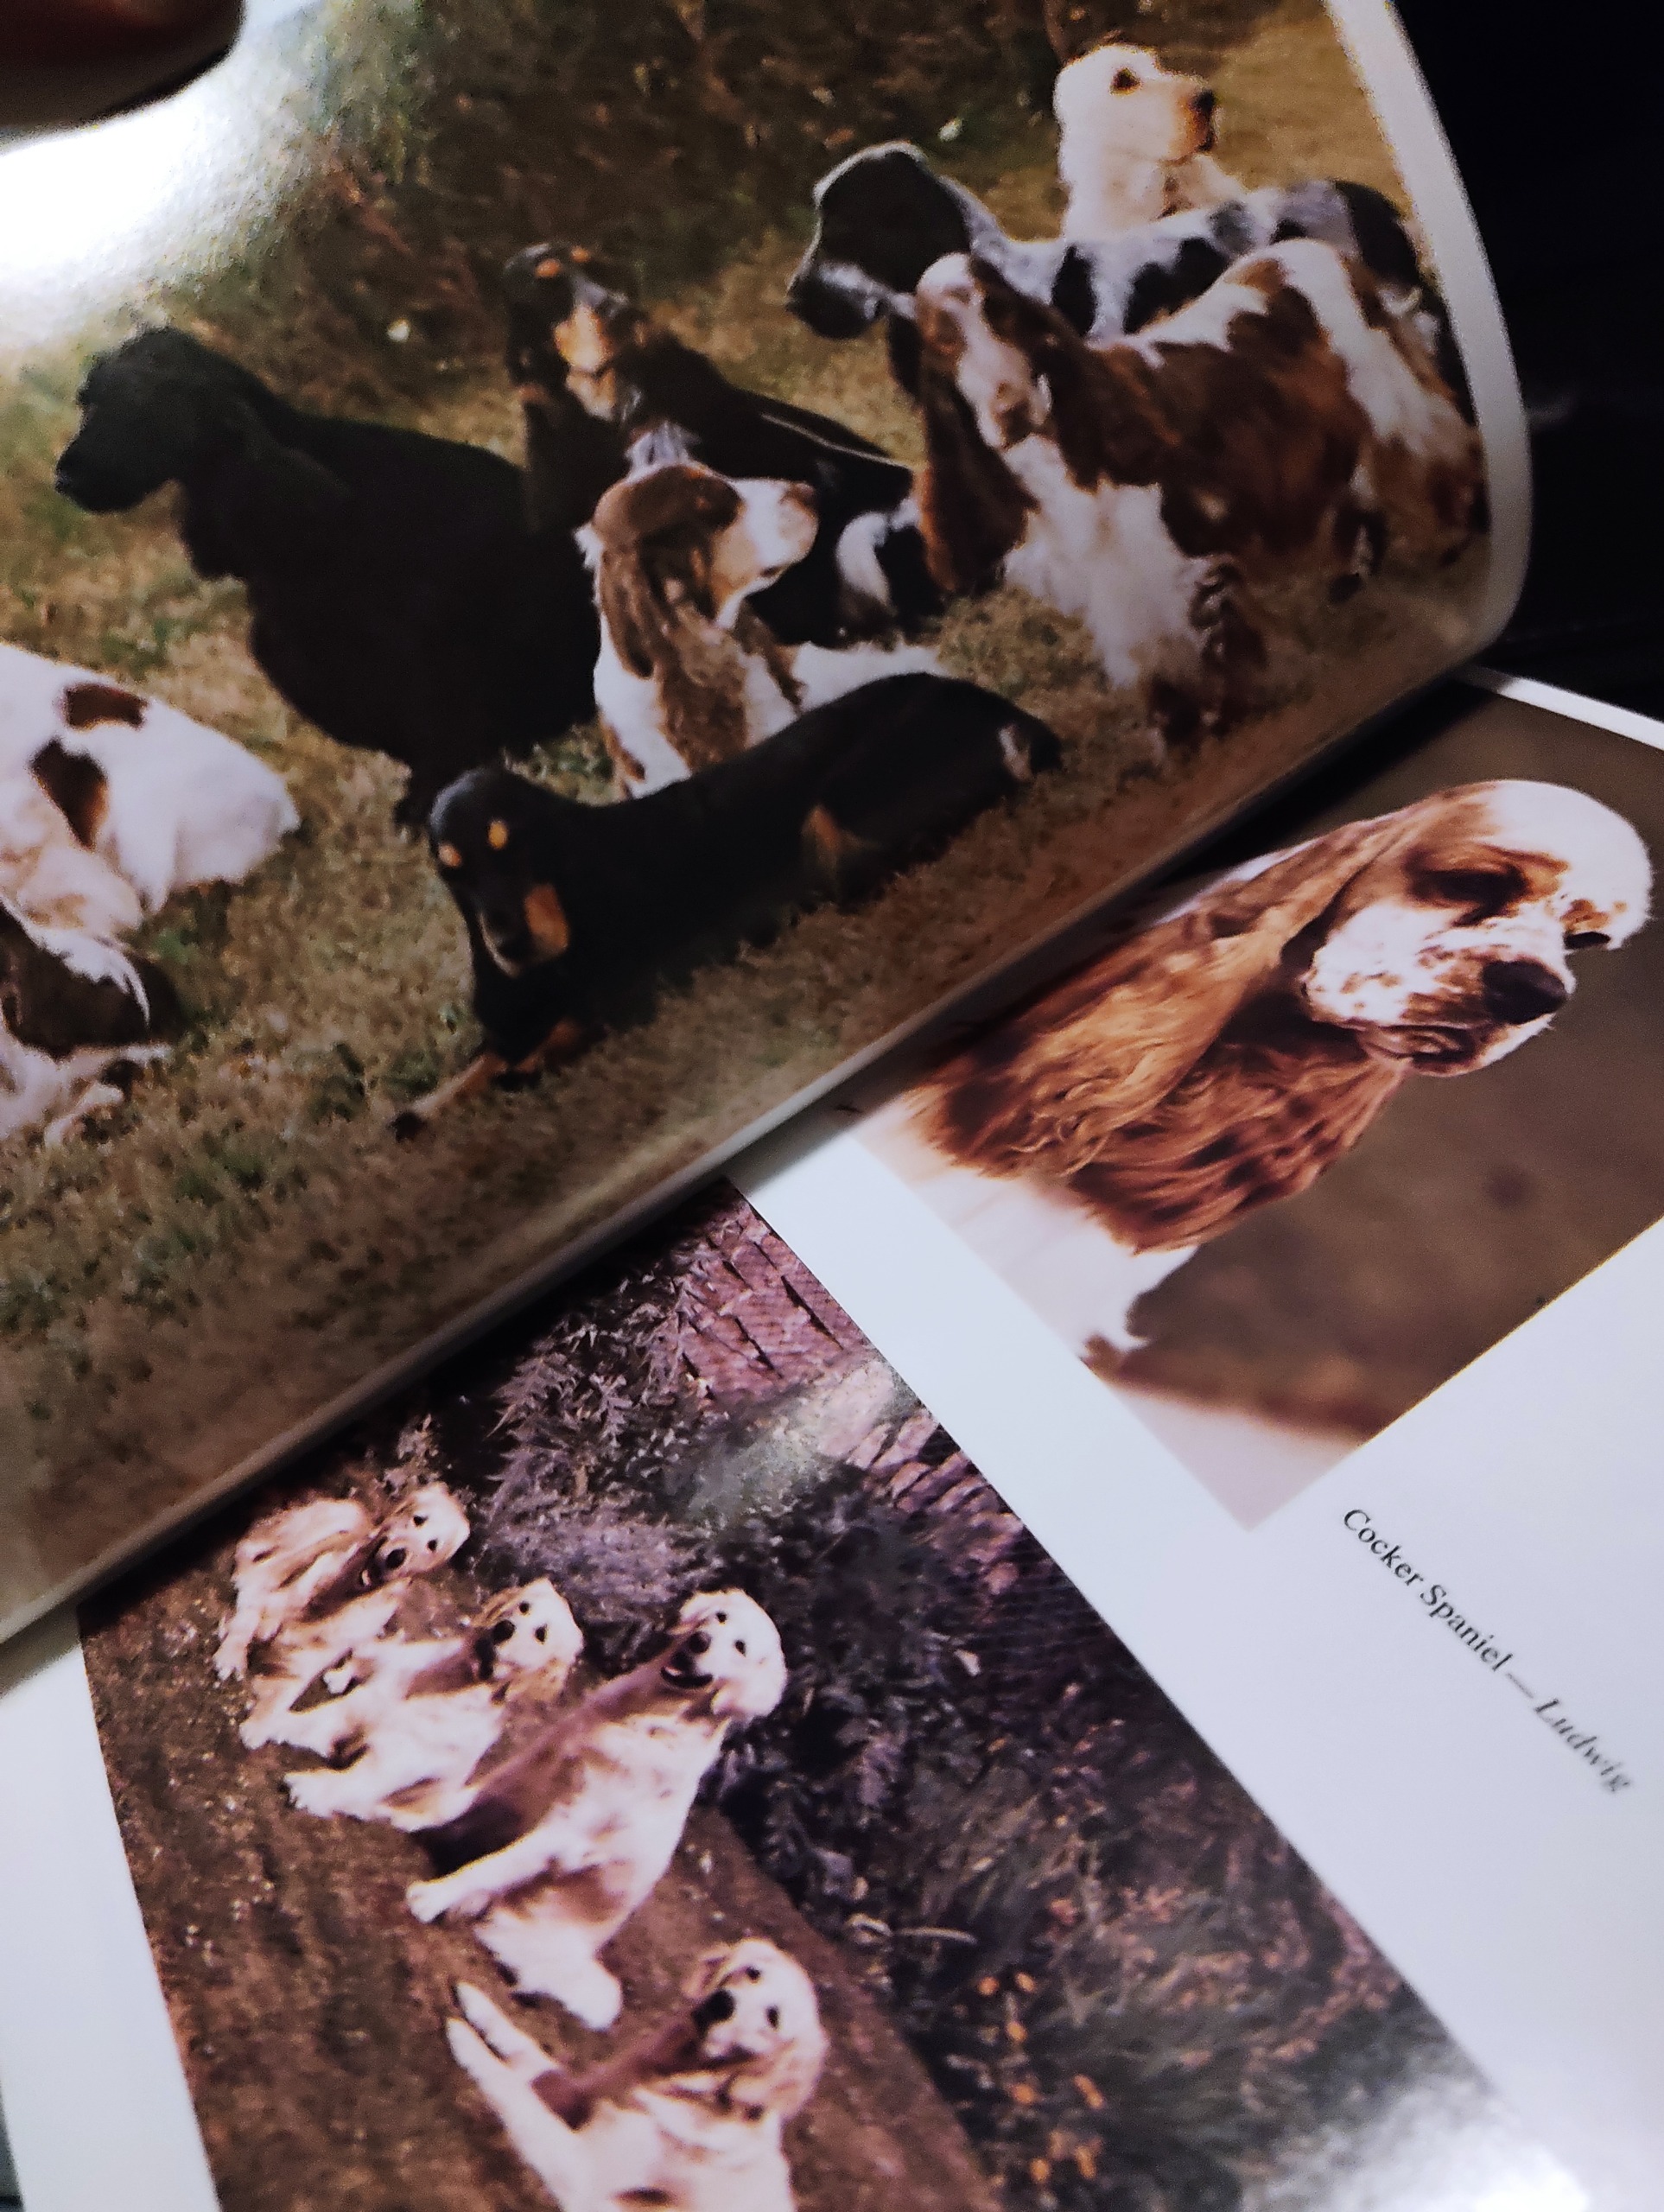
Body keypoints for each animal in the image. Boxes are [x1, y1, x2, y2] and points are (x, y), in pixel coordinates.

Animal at [280, 1578, 583, 1828]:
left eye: (541, 1634)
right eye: (524, 1607)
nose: (504, 1628)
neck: (446, 1683)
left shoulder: (390, 1760)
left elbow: (350, 1780)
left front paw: (310, 1788)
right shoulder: (360, 1707)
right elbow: (312, 1720)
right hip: (390, 1656)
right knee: (362, 1656)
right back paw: (339, 1676)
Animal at [391, 674, 1060, 1135]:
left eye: (516, 845)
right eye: (454, 873)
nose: (508, 943)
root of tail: (1014, 718)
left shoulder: (653, 977)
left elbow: (563, 1033)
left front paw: (517, 1070)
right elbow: (481, 1062)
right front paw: (428, 1105)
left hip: (838, 800)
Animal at [407, 1591, 788, 2029]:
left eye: (741, 1648)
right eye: (720, 1618)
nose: (700, 1641)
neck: (645, 1719)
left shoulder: (568, 1830)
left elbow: (491, 1865)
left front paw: (433, 1896)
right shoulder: (535, 1762)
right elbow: (462, 1799)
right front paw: (408, 1813)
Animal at [447, 1940, 826, 2212]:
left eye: (773, 2018)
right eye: (752, 1972)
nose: (722, 2002)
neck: (671, 2079)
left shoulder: (583, 2172)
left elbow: (511, 2089)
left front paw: (463, 2038)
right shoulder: (579, 2093)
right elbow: (522, 2047)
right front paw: (476, 2003)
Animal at [911, 242, 1482, 743]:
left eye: (1001, 314)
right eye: (945, 340)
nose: (1012, 410)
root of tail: (1320, 248)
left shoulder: (1178, 550)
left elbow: (1212, 633)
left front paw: (1231, 709)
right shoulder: (1110, 587)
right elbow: (1150, 660)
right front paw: (1175, 731)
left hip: (1393, 406)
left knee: (1435, 459)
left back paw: (1454, 536)